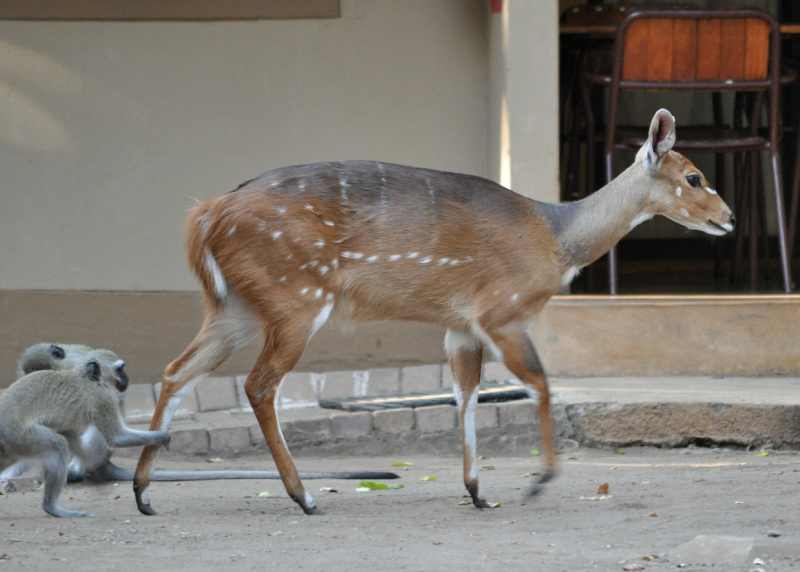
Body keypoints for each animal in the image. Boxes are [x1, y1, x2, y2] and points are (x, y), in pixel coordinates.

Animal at [0, 354, 172, 517]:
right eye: (120, 369)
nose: (126, 378)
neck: (84, 376)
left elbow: (73, 436)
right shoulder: (102, 397)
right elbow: (117, 437)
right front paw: (163, 436)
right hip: (20, 436)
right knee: (58, 446)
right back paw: (51, 507)